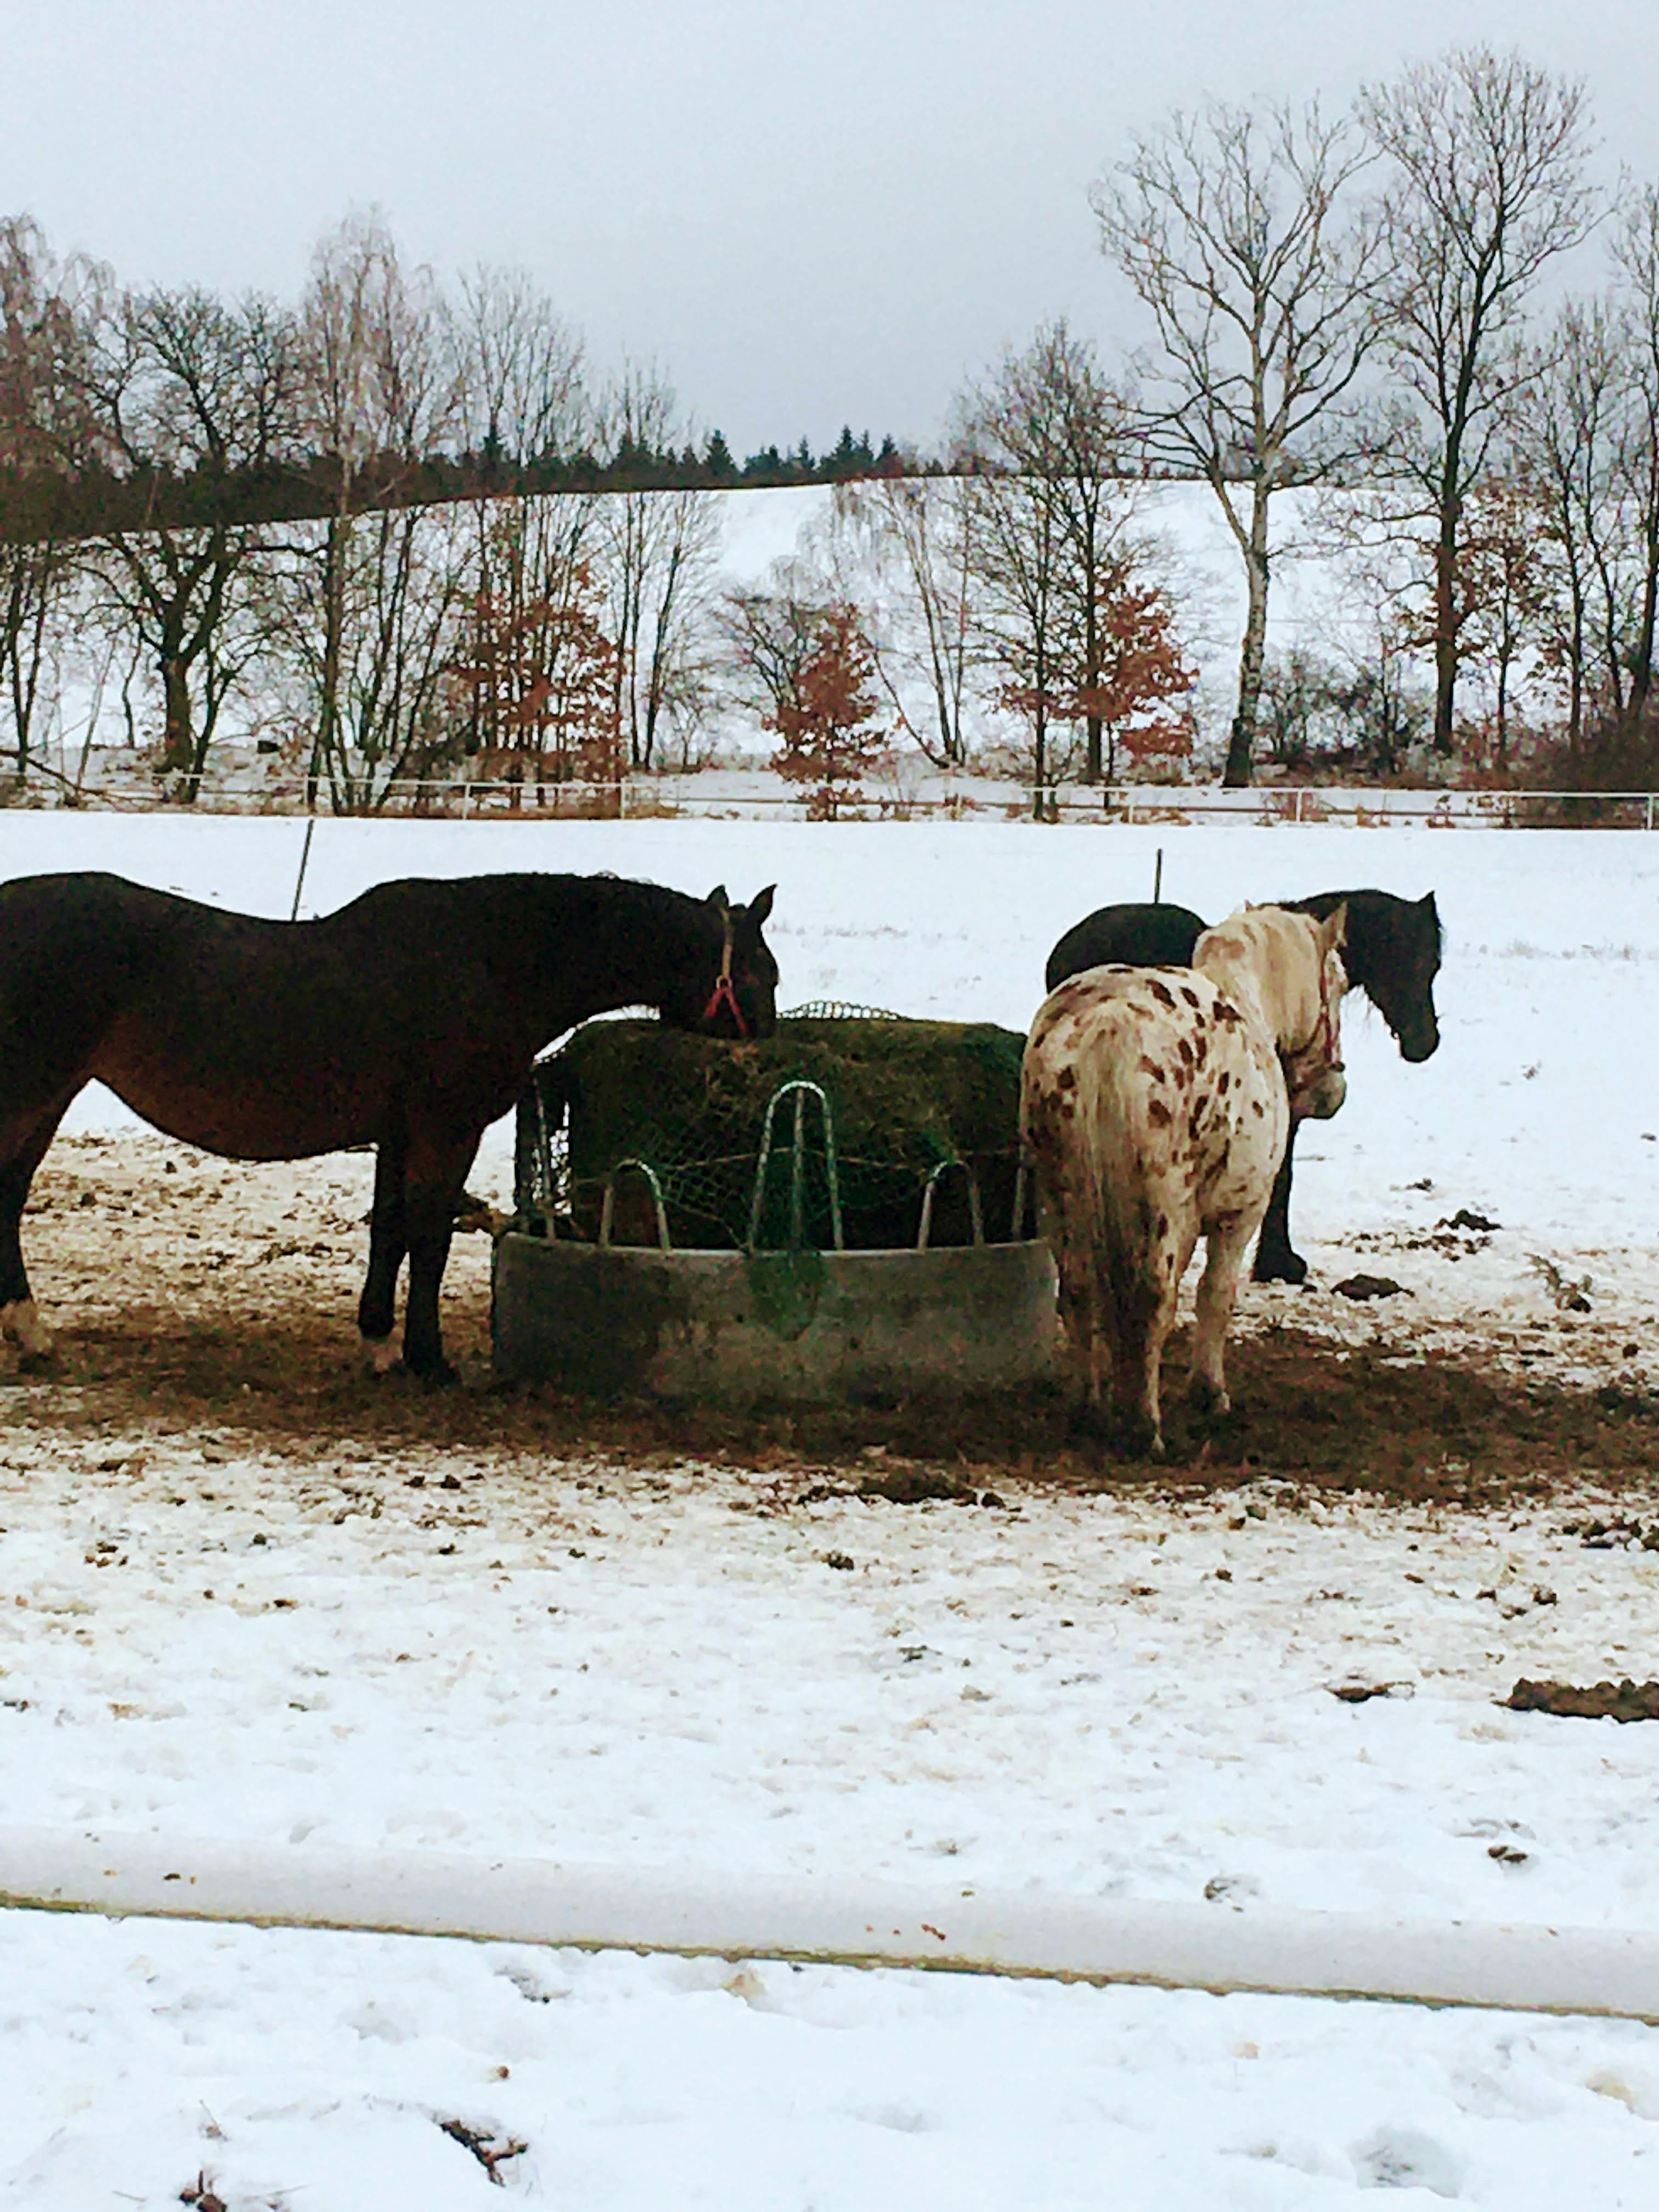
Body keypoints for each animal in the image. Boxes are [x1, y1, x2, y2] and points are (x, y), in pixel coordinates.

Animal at [0, 867, 783, 1371]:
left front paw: (377, 1342)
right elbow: (429, 1236)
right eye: (759, 975)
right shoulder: (447, 1127)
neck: (492, 962)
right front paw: (429, 1360)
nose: (769, 1052)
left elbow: (390, 1231)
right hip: (30, 1095)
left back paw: (28, 1334)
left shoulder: (399, 1131)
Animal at [1026, 907, 1353, 1460]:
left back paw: (1090, 1411)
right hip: (1161, 1209)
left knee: (1080, 1293)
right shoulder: (1238, 1216)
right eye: (1341, 982)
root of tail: (1110, 1023)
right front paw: (1209, 1393)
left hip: (1060, 1199)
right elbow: (1214, 1297)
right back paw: (1144, 1429)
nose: (1334, 1090)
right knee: (1152, 1299)